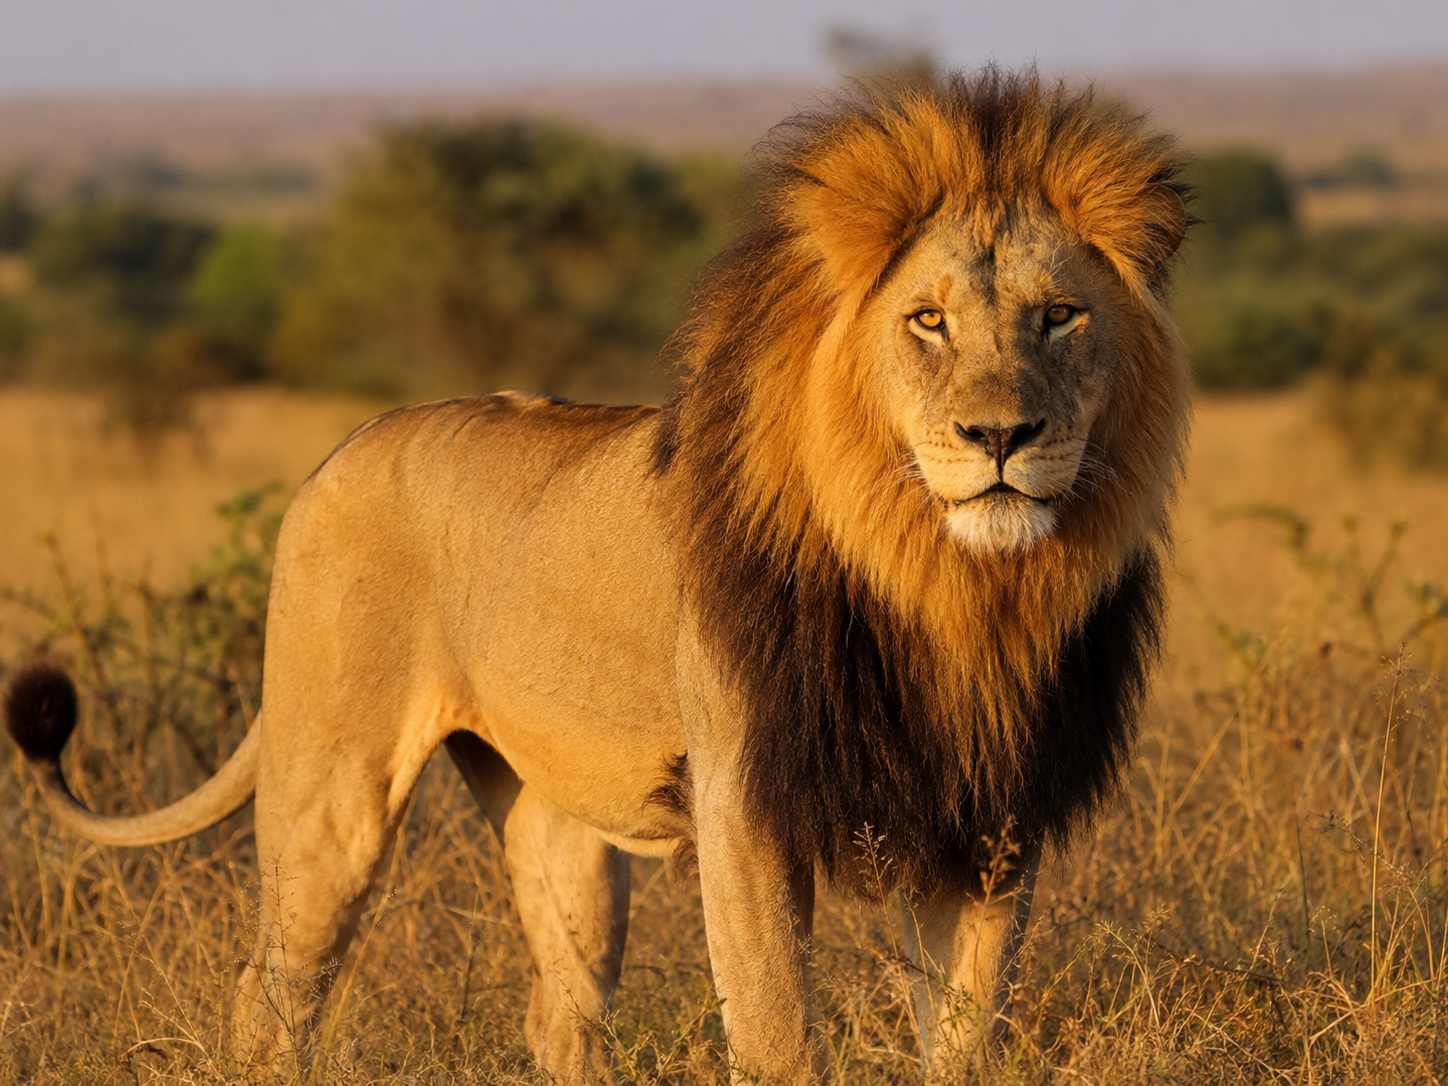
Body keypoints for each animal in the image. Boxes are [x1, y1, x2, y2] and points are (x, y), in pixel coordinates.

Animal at [4, 70, 1190, 1084]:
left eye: (1060, 315)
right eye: (928, 321)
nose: (1000, 436)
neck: (949, 587)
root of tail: (339, 452)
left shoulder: (987, 817)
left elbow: (965, 1033)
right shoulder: (743, 799)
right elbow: (776, 1034)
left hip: (557, 824)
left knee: (560, 1012)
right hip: (330, 787)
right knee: (273, 993)